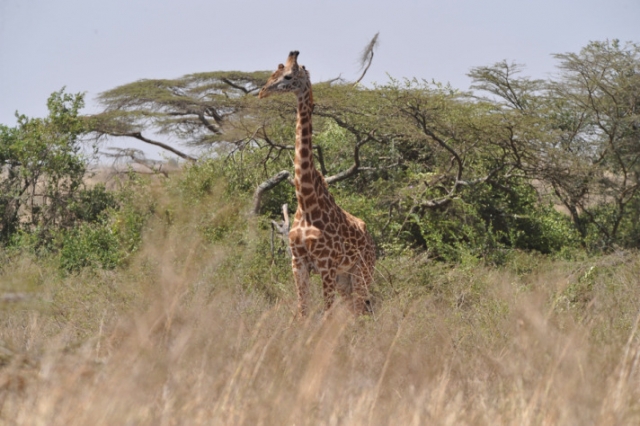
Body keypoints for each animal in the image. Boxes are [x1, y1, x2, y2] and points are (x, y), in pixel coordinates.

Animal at [258, 50, 378, 316]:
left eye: (288, 76)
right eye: (273, 72)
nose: (262, 92)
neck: (306, 202)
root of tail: (370, 239)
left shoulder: (326, 265)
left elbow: (326, 314)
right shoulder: (298, 262)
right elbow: (303, 312)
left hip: (362, 271)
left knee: (361, 312)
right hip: (345, 278)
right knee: (353, 312)